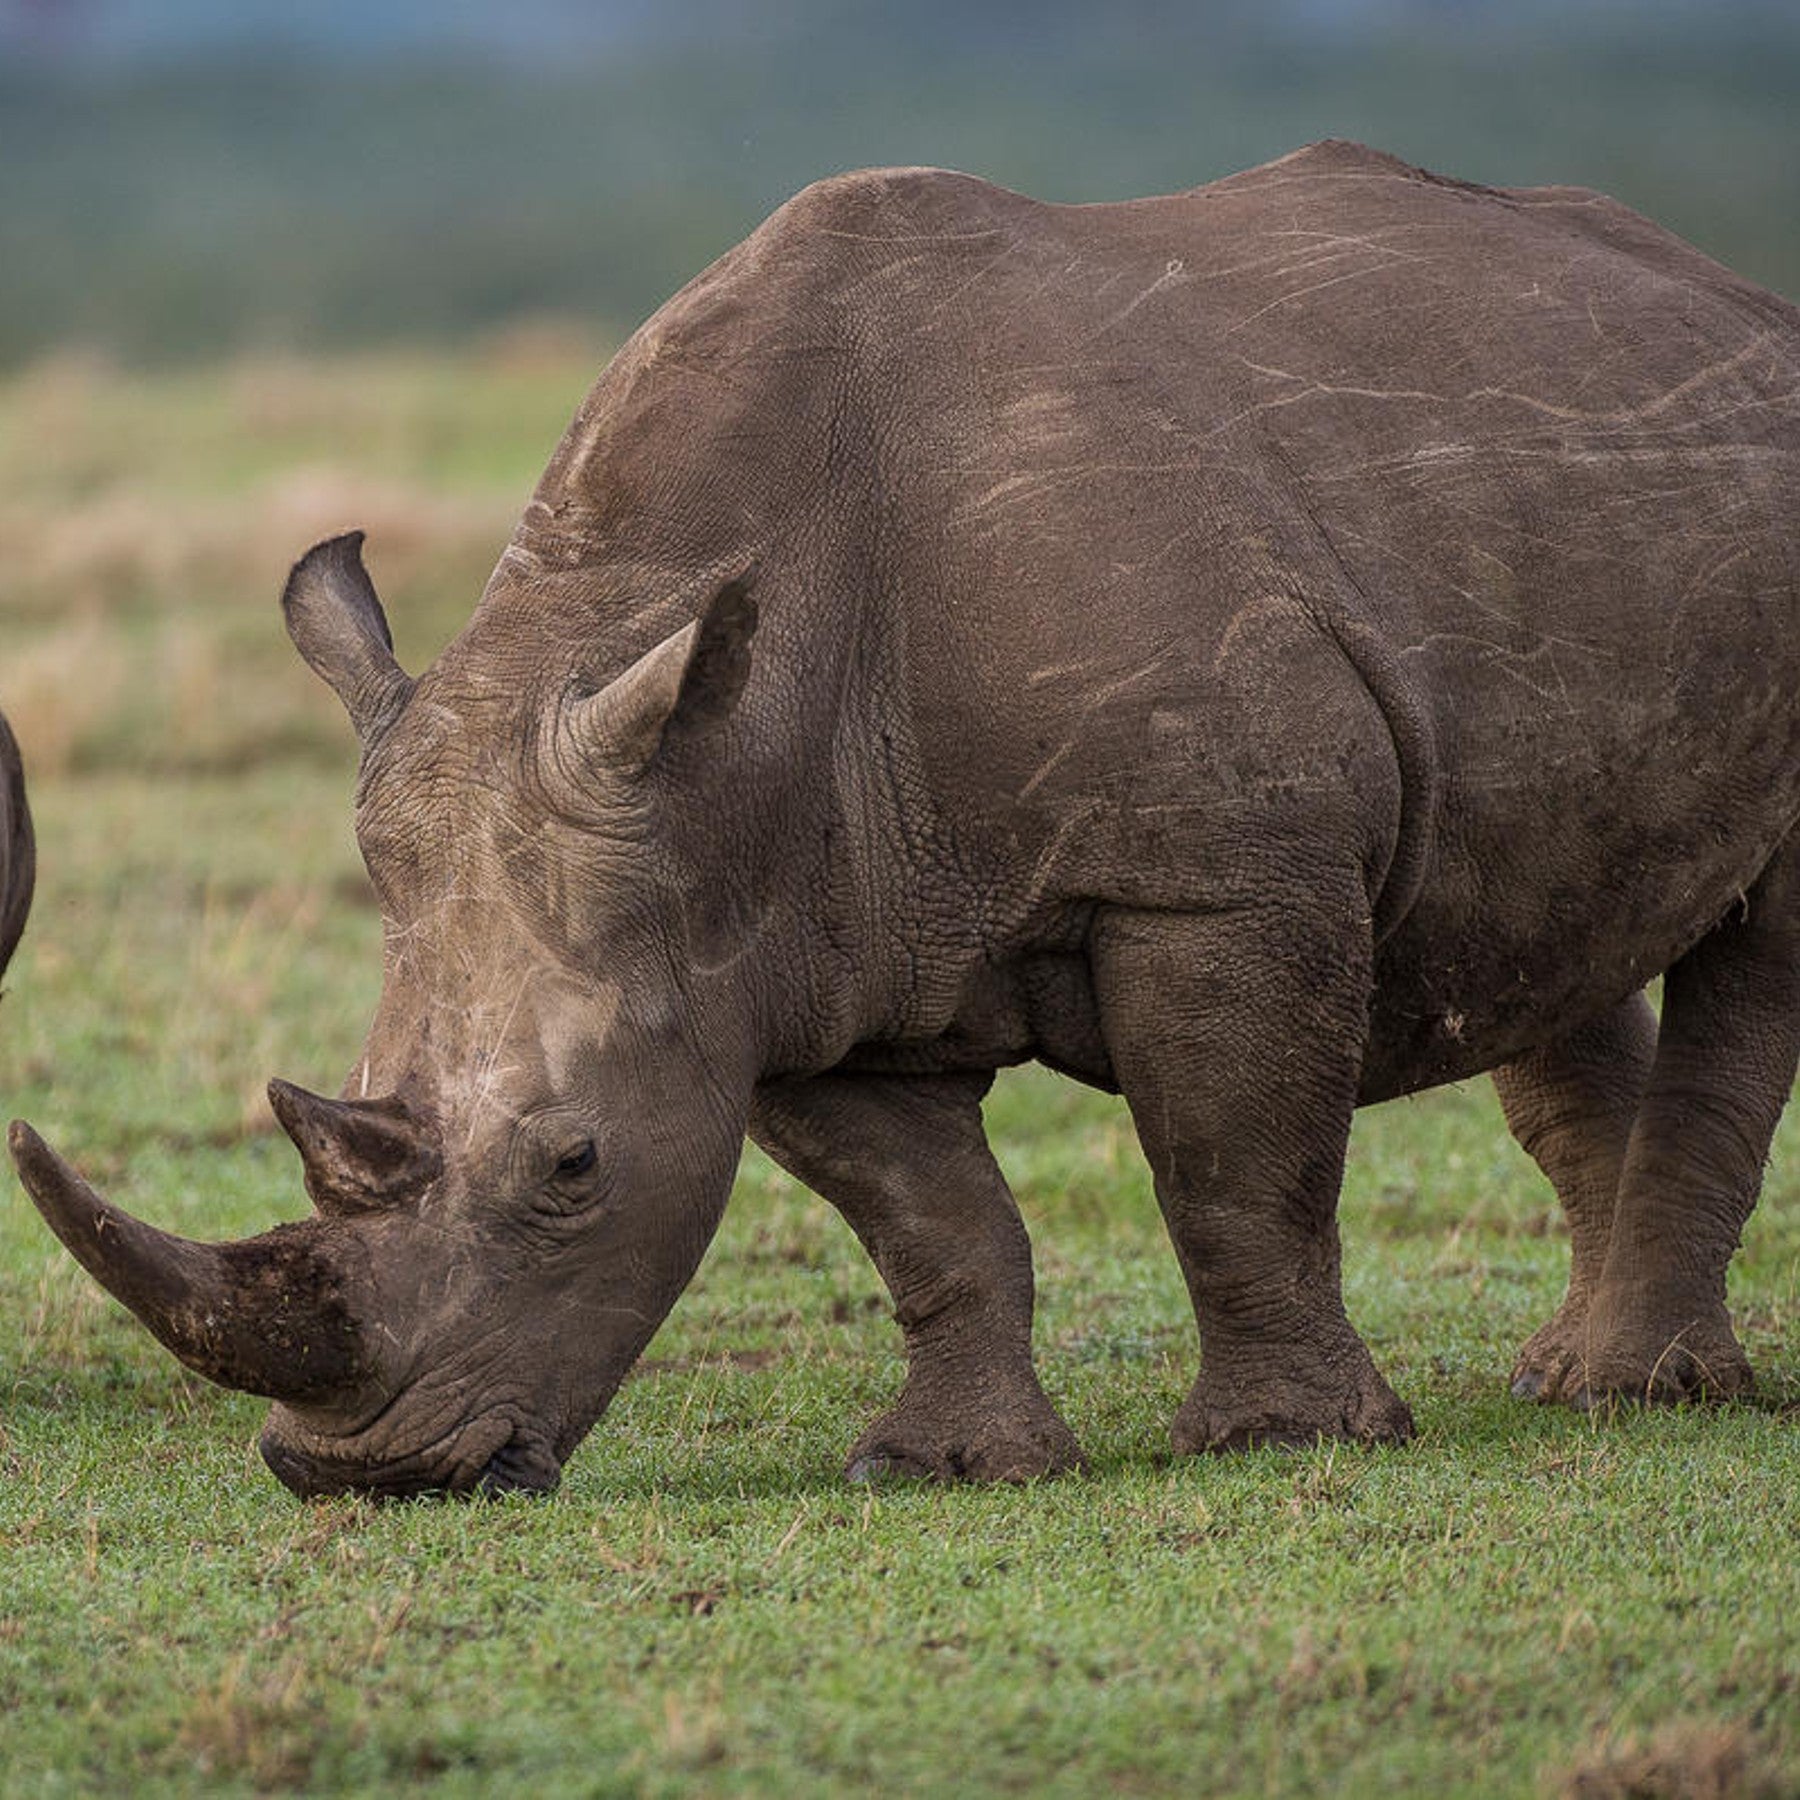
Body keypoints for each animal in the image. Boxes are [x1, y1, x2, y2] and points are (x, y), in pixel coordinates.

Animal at [14, 140, 1800, 1497]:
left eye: (575, 1166)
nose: (365, 1475)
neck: (727, 754)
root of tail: (1738, 298)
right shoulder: (776, 949)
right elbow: (931, 1221)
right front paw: (950, 1470)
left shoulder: (1216, 876)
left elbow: (1232, 1160)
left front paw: (1282, 1444)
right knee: (1544, 927)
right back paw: (1571, 1379)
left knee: (1752, 945)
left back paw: (1640, 1393)